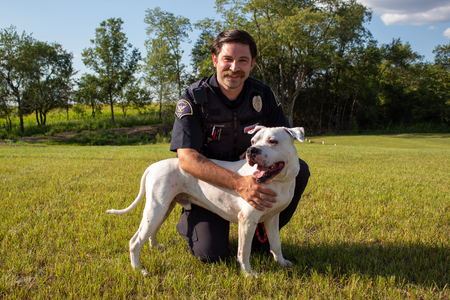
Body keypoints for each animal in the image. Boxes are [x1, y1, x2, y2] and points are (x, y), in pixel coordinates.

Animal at [108, 125, 306, 276]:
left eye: (273, 141)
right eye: (253, 142)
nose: (251, 150)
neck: (279, 182)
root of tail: (153, 166)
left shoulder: (272, 218)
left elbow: (276, 243)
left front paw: (281, 262)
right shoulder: (247, 221)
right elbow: (244, 251)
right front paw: (248, 274)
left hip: (163, 209)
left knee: (151, 232)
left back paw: (155, 248)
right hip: (156, 208)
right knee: (135, 242)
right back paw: (139, 270)